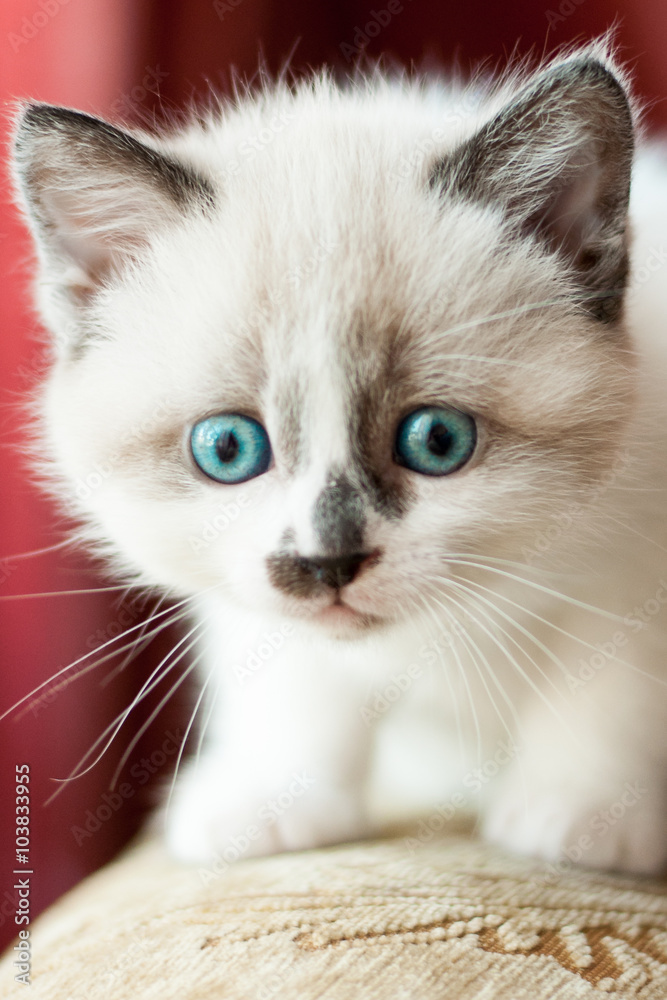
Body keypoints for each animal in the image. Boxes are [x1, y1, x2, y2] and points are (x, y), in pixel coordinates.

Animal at [11, 45, 667, 876]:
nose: (326, 564)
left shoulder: (636, 571)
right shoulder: (245, 598)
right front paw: (268, 803)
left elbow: (607, 687)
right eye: (228, 449)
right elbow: (291, 682)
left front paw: (584, 818)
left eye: (437, 441)